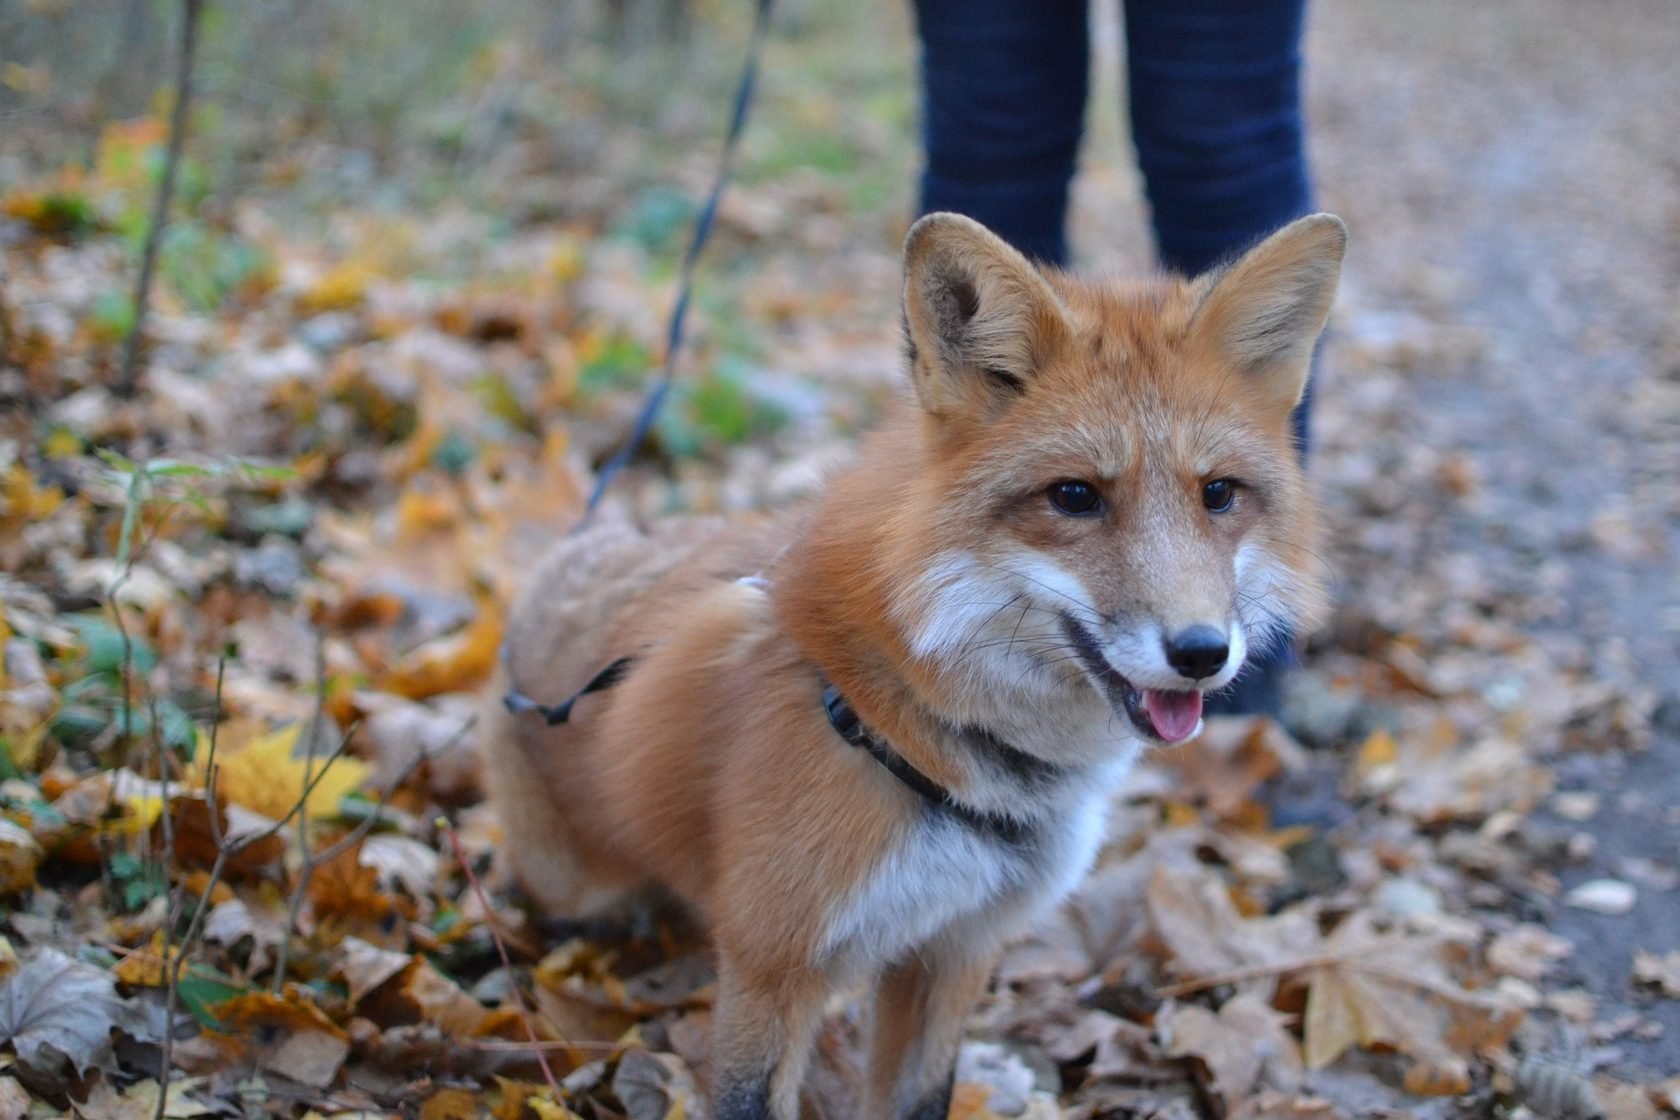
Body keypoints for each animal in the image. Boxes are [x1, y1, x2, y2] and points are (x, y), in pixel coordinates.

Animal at [480, 209, 1344, 1120]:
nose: (1203, 653)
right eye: (1075, 497)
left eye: (1218, 494)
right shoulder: (773, 964)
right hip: (573, 890)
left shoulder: (955, 949)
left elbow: (921, 1096)